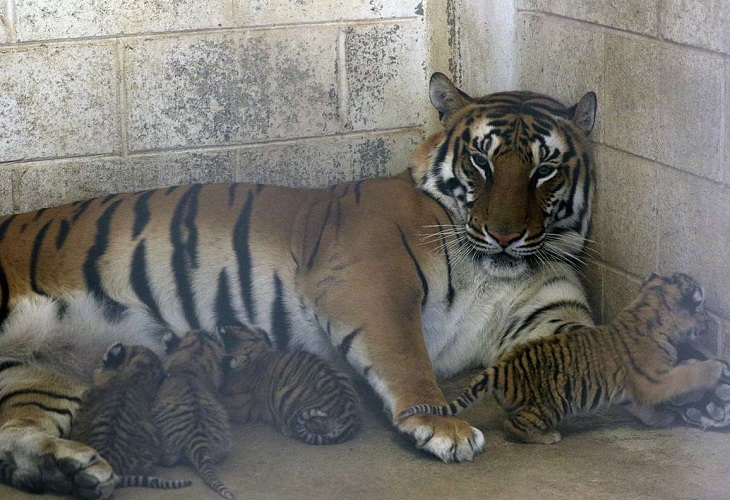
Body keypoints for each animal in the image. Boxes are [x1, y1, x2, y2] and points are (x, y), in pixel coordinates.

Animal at [0, 72, 704, 498]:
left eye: (545, 170)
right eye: (481, 161)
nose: (505, 235)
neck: (493, 270)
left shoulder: (549, 319)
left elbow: (605, 352)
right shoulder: (371, 280)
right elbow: (406, 356)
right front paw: (443, 428)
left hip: (43, 374)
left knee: (15, 437)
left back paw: (72, 469)